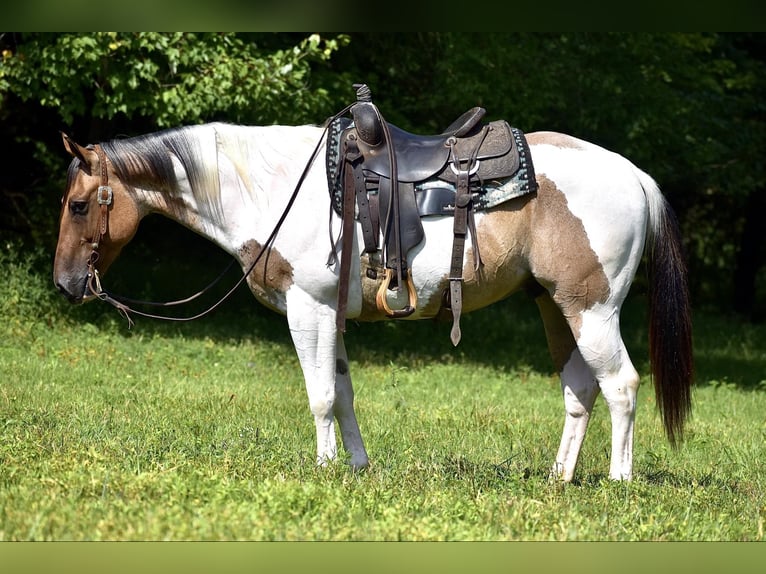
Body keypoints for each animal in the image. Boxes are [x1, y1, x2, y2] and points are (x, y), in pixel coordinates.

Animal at [54, 102, 696, 482]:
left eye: (80, 205)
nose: (64, 284)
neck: (271, 187)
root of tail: (633, 175)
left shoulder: (308, 307)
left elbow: (318, 396)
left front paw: (323, 467)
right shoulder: (329, 314)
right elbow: (342, 393)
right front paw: (357, 467)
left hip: (592, 308)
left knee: (621, 385)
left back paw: (618, 480)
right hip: (554, 307)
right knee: (580, 388)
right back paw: (560, 479)